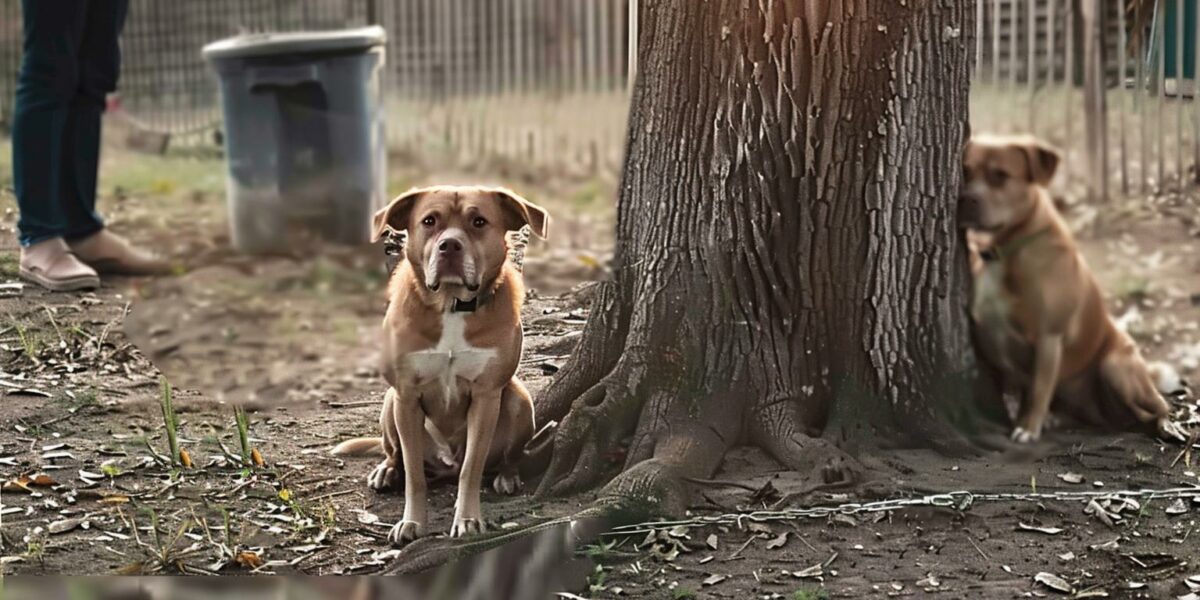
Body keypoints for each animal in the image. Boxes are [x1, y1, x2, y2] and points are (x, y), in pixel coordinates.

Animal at [328, 184, 544, 547]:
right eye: (429, 221)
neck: (451, 304)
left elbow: (471, 469)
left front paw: (468, 519)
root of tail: (446, 465)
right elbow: (415, 474)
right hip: (389, 403)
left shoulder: (486, 397)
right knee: (393, 452)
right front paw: (412, 523)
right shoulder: (406, 397)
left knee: (507, 454)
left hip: (518, 397)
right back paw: (387, 471)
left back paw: (507, 475)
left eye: (479, 221)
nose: (450, 246)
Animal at [955, 136, 1180, 444]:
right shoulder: (986, 339)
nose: (967, 199)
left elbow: (1037, 391)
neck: (1007, 249)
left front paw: (1028, 428)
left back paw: (1165, 425)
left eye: (999, 175)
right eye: (965, 171)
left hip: (1116, 365)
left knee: (1159, 406)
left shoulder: (1049, 338)